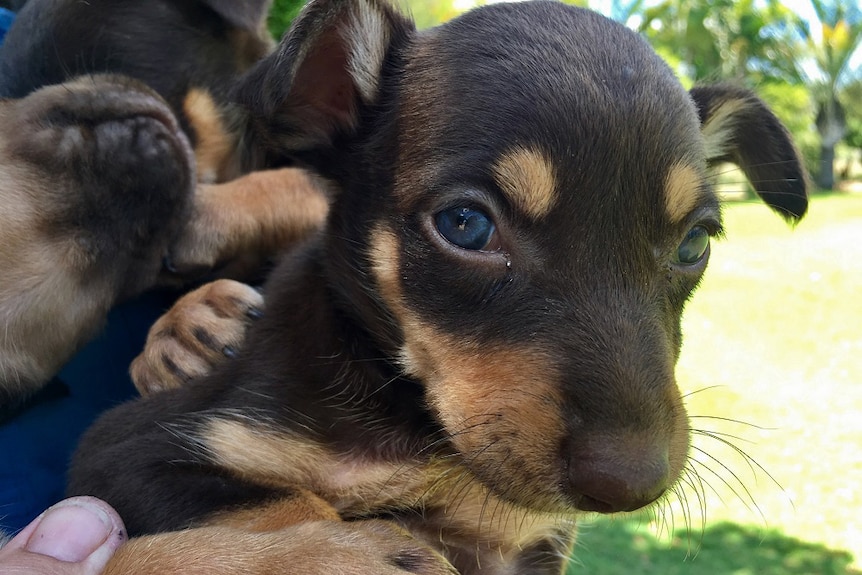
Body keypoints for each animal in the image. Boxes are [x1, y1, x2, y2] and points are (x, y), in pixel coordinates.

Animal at [67, 1, 808, 575]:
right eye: (465, 224)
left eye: (695, 244)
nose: (632, 484)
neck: (406, 417)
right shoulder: (131, 450)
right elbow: (284, 501)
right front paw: (349, 551)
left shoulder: (519, 536)